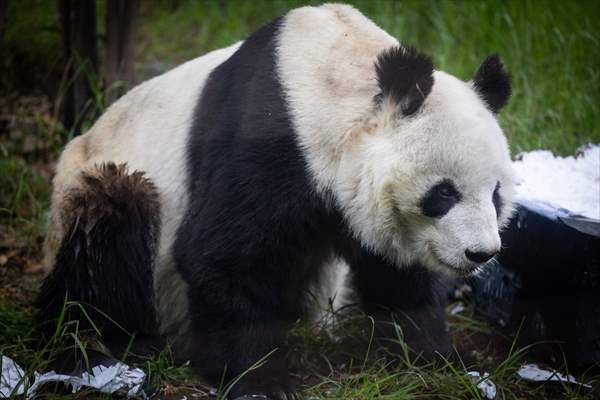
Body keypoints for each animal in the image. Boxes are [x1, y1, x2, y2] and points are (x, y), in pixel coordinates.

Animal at [36, 3, 516, 400]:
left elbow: (397, 278)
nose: (481, 253)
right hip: (97, 193)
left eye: (495, 193)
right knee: (108, 226)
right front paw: (263, 380)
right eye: (444, 193)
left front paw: (446, 361)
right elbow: (223, 256)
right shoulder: (271, 141)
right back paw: (113, 341)